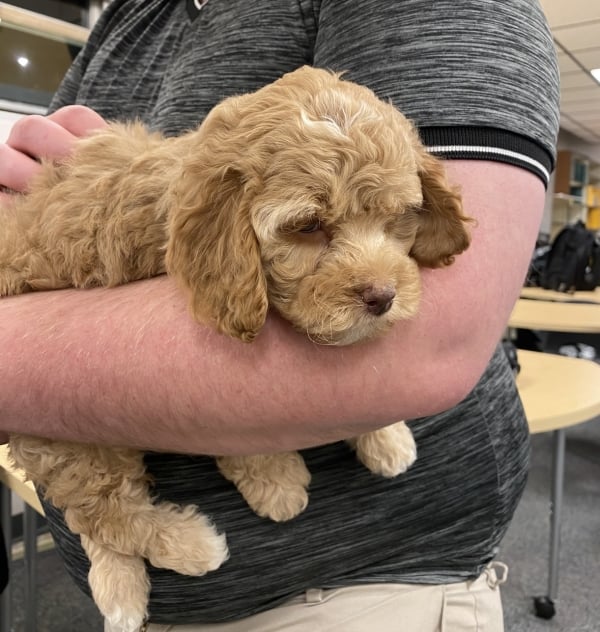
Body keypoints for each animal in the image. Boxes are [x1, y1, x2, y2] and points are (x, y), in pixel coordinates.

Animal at [0, 65, 472, 632]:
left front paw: (386, 436)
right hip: (65, 430)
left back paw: (122, 589)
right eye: (308, 227)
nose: (382, 296)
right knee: (103, 510)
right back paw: (187, 546)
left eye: (398, 217)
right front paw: (278, 482)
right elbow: (242, 437)